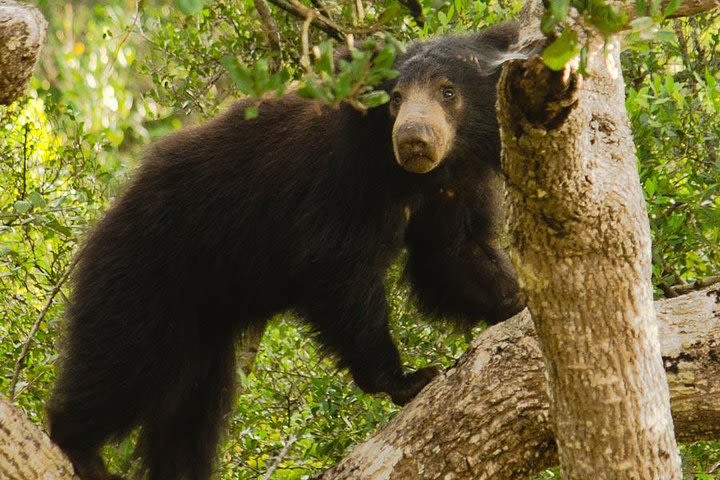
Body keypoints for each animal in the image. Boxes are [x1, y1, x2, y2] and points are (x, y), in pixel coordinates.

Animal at [47, 20, 524, 480]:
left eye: (448, 92)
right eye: (395, 99)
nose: (414, 141)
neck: (409, 176)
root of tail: (109, 213)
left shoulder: (456, 185)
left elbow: (452, 252)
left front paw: (516, 301)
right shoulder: (341, 182)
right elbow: (339, 272)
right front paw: (407, 378)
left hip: (203, 321)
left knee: (190, 409)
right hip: (147, 269)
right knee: (124, 361)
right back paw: (80, 449)